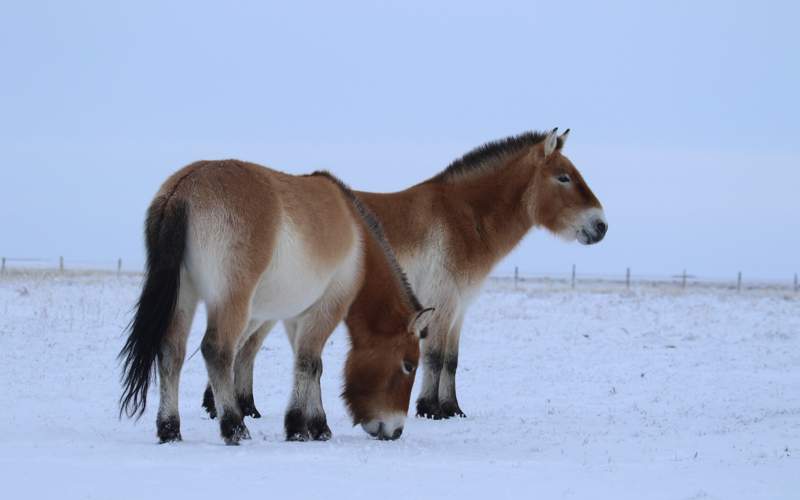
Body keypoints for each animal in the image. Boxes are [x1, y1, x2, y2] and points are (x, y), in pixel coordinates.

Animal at [120, 161, 432, 446]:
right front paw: (298, 427)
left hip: (184, 297)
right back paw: (234, 427)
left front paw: (317, 426)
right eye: (409, 365)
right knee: (217, 351)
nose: (395, 430)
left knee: (171, 352)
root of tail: (183, 189)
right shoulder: (329, 306)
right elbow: (309, 363)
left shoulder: (297, 317)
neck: (359, 242)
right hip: (231, 300)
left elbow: (311, 365)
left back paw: (170, 429)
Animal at [202, 128, 608, 422]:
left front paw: (453, 409)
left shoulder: (460, 308)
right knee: (236, 347)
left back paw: (240, 408)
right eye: (564, 177)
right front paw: (432, 409)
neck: (464, 218)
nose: (601, 226)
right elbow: (436, 358)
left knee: (244, 350)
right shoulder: (442, 302)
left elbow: (452, 359)